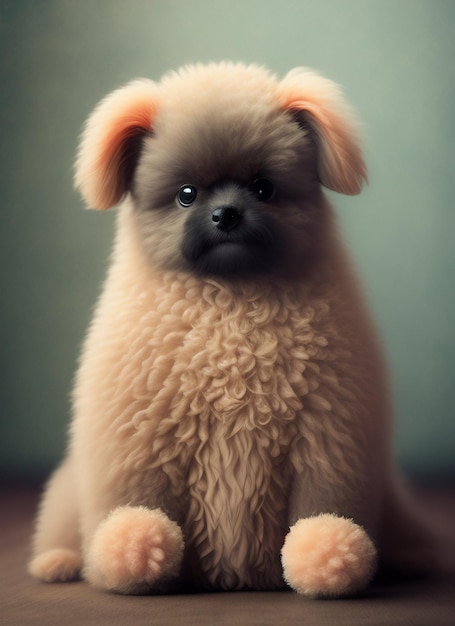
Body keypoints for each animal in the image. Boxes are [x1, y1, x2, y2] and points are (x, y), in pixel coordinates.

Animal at [27, 62, 434, 596]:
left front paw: (327, 555)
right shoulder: (140, 436)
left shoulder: (328, 435)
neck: (231, 301)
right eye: (186, 195)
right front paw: (133, 548)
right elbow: (138, 496)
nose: (226, 213)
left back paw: (410, 555)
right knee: (60, 526)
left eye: (263, 187)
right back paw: (58, 561)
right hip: (67, 492)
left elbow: (325, 502)